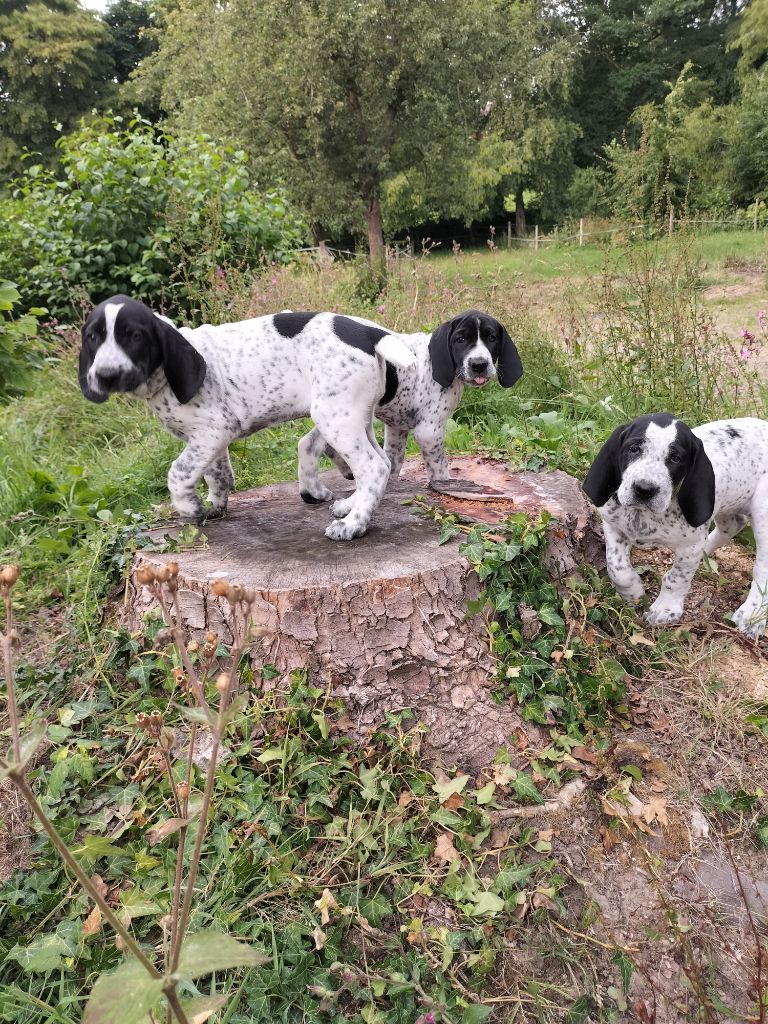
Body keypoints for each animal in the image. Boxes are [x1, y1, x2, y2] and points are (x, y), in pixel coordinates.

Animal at [78, 296, 417, 540]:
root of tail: (368, 332)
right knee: (382, 464)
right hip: (355, 417)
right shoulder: (210, 441)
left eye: (134, 336)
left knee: (372, 468)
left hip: (335, 419)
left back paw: (353, 525)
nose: (105, 375)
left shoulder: (213, 431)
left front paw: (189, 507)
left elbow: (178, 472)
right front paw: (214, 505)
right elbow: (218, 474)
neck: (162, 377)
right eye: (93, 337)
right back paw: (350, 507)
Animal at [296, 305, 528, 501]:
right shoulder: (429, 431)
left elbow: (393, 463)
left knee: (313, 443)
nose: (479, 365)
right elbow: (439, 471)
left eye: (492, 338)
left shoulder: (396, 429)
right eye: (460, 339)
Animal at [581, 411, 768, 634]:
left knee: (762, 568)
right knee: (732, 525)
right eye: (634, 449)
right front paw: (633, 593)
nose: (644, 489)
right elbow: (617, 568)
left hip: (763, 513)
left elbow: (676, 578)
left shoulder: (690, 545)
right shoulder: (613, 526)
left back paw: (752, 615)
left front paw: (665, 609)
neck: (644, 516)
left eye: (675, 459)